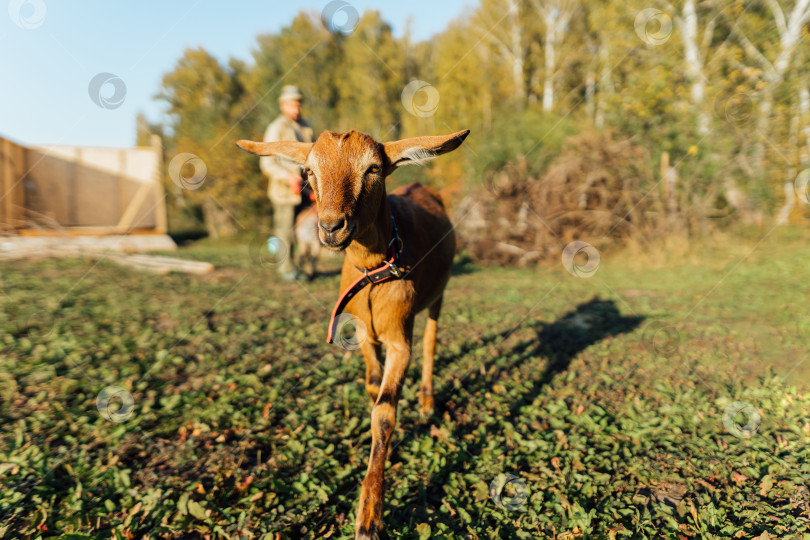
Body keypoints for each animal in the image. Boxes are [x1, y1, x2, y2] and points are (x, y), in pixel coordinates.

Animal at [235, 129, 468, 536]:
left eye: (373, 168)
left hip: (439, 296)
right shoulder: (362, 330)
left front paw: (369, 516)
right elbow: (374, 387)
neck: (374, 273)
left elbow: (385, 412)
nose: (331, 227)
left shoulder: (399, 337)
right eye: (308, 171)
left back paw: (427, 404)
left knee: (430, 342)